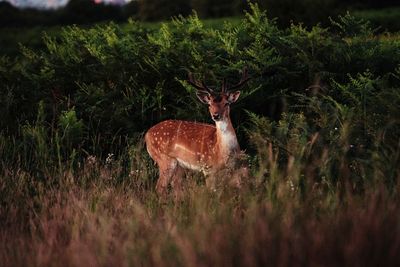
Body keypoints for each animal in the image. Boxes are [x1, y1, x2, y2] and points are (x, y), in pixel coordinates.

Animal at [144, 68, 250, 197]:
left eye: (226, 103)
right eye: (210, 104)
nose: (216, 115)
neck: (222, 151)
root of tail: (147, 135)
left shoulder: (231, 169)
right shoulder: (208, 168)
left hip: (179, 166)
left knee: (176, 188)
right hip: (164, 159)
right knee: (160, 188)